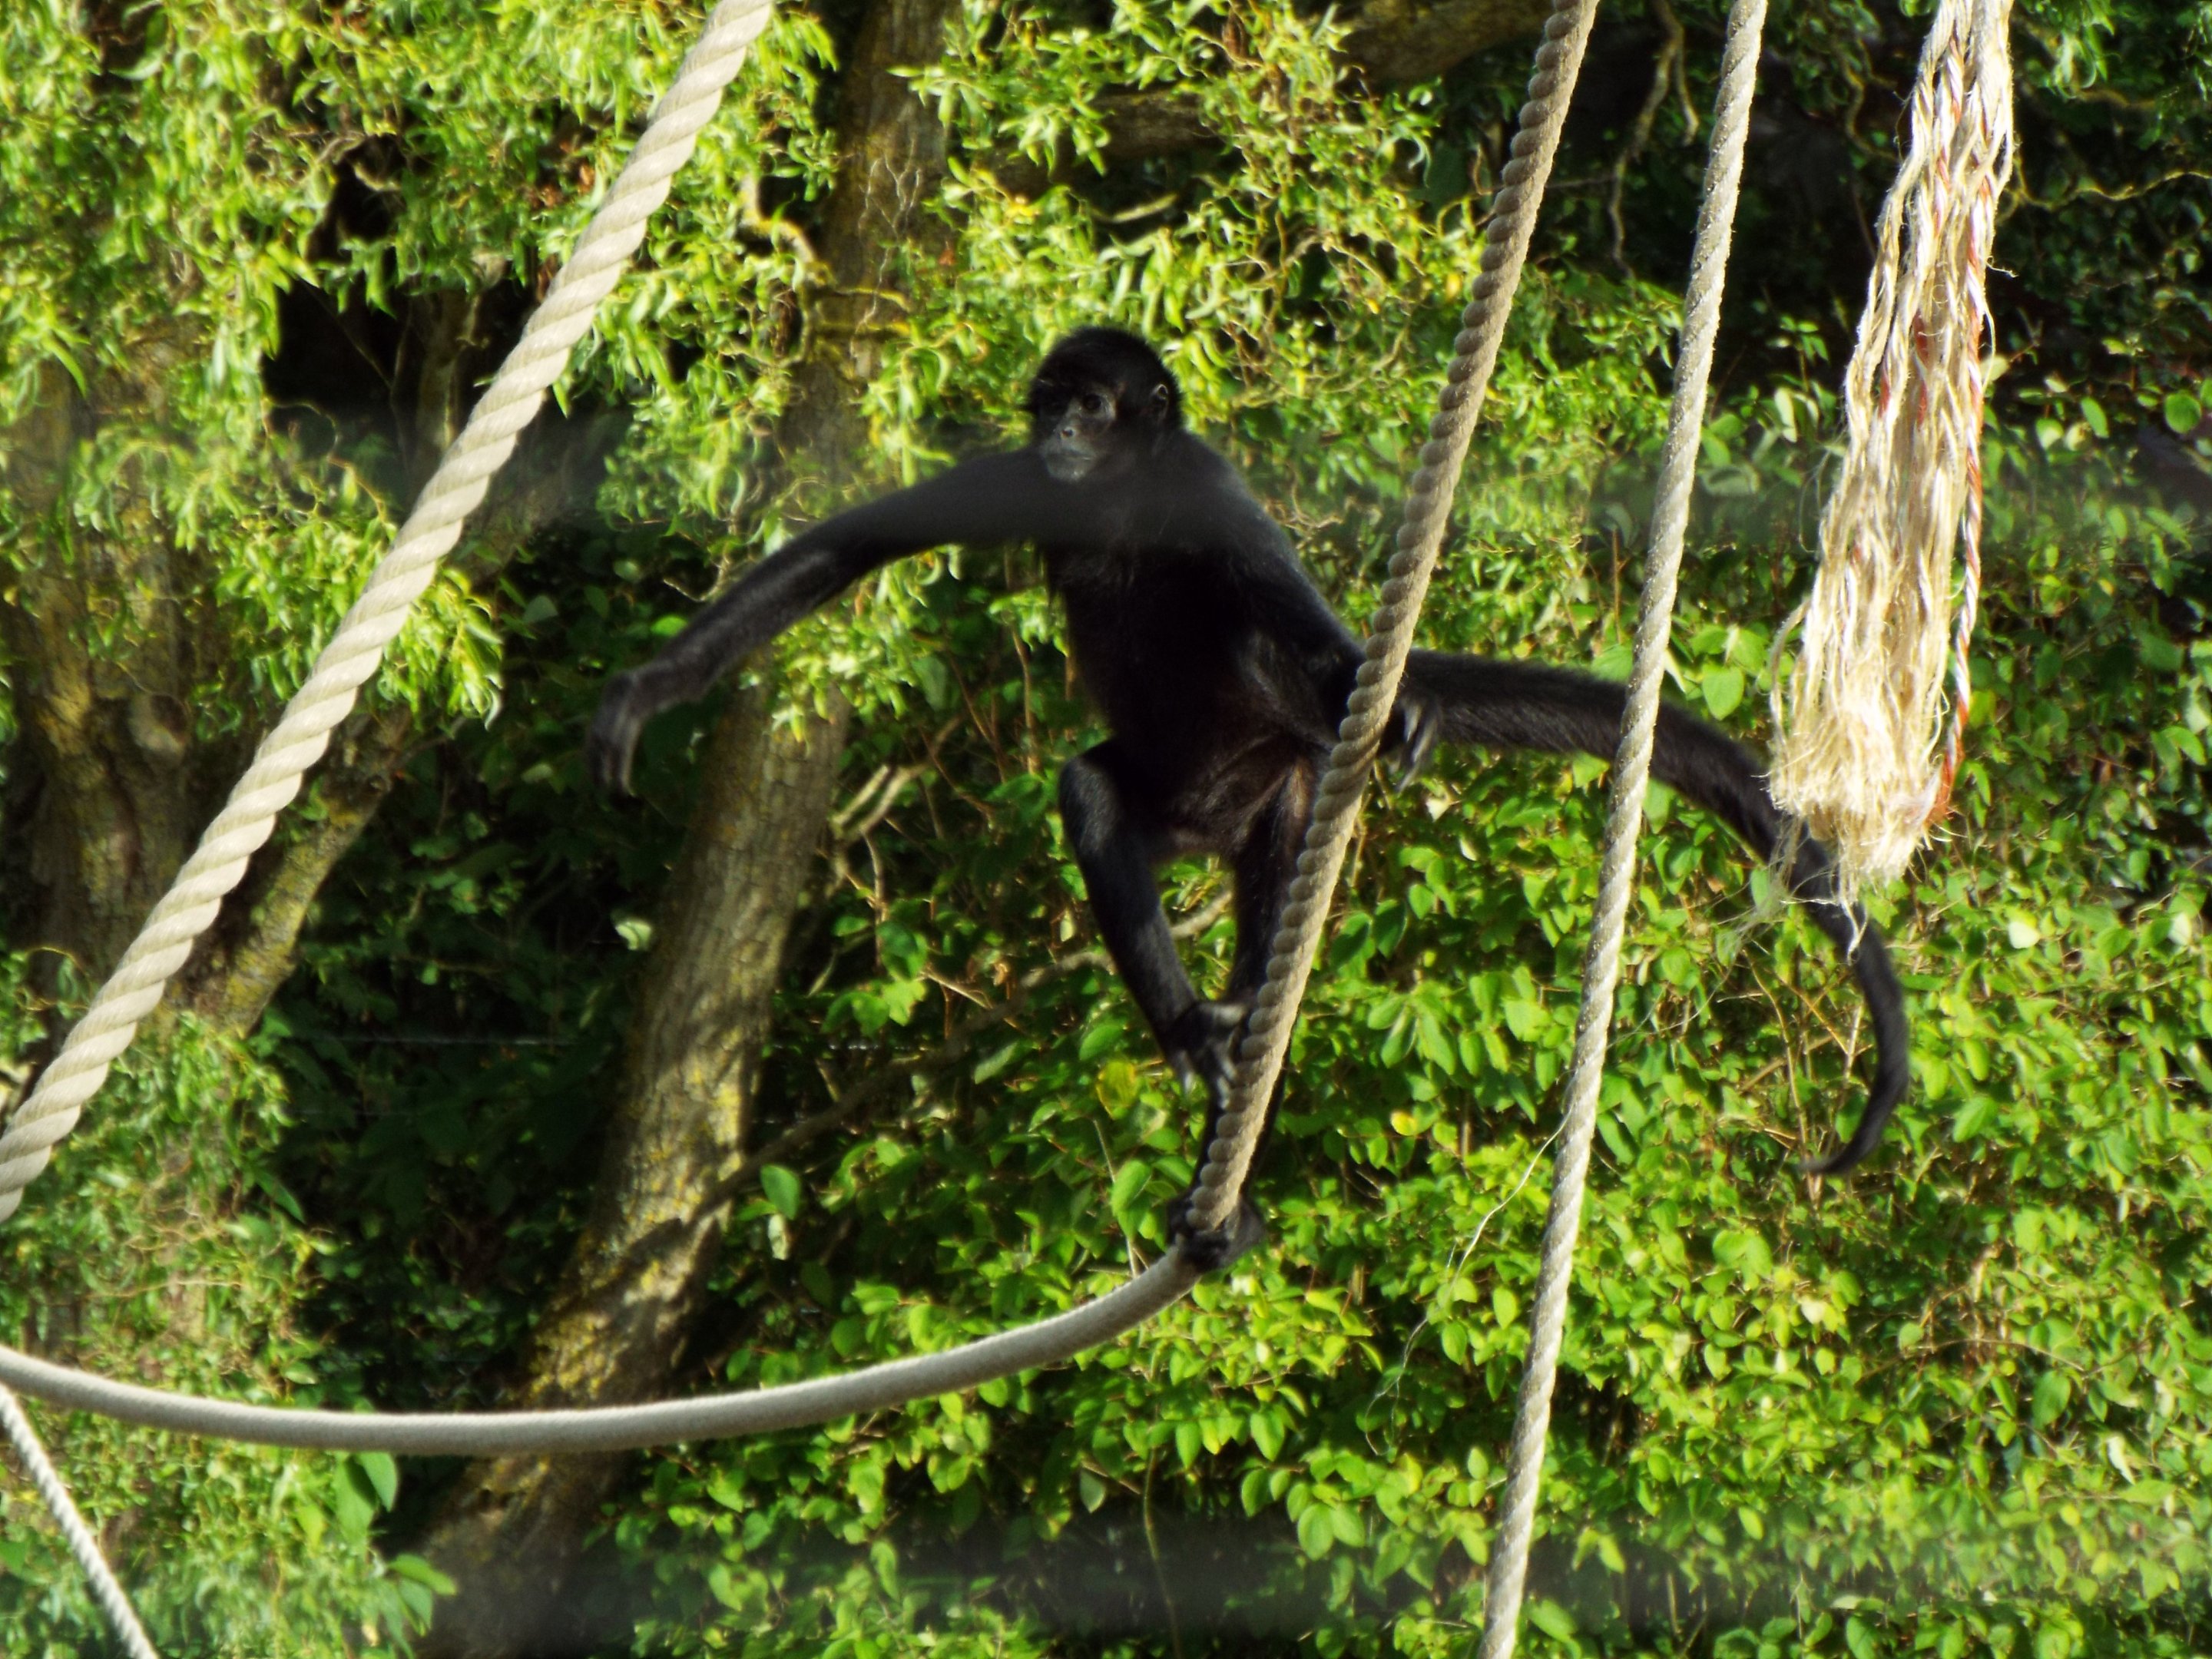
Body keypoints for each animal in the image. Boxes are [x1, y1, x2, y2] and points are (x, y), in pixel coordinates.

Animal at [589, 327, 1910, 1268]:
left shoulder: (1212, 496)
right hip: (1180, 800)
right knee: (1095, 794)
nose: (1056, 428)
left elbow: (1292, 611)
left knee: (1248, 807)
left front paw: (1389, 701)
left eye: (1089, 404)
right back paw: (1199, 1041)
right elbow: (843, 549)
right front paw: (646, 692)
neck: (1119, 497)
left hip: (1274, 784)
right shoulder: (1031, 482)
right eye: (1045, 404)